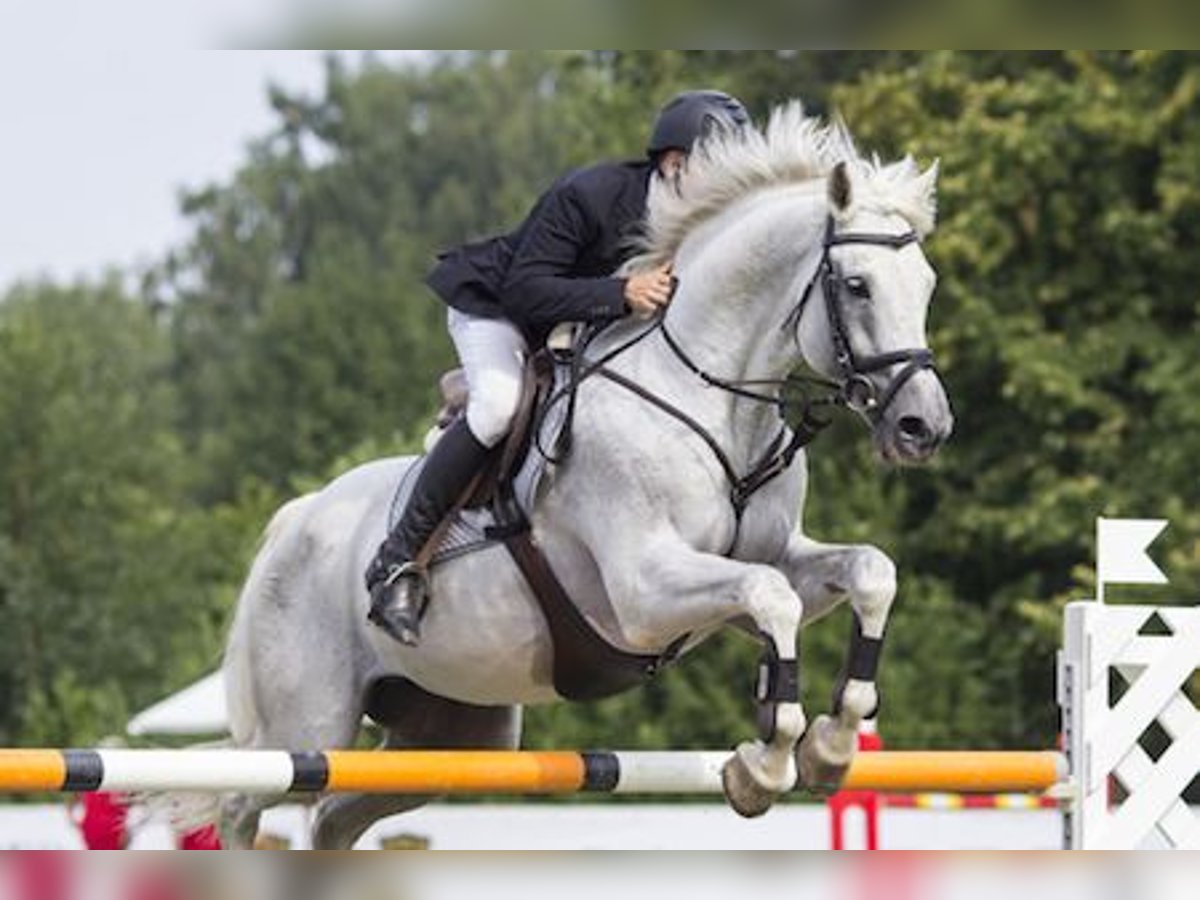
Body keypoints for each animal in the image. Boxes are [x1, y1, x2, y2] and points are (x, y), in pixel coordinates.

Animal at [213, 102, 945, 849]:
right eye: (856, 286)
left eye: (926, 287)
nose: (924, 425)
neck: (711, 396)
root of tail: (296, 519)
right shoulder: (644, 590)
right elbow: (771, 597)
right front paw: (764, 767)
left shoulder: (773, 560)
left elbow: (867, 573)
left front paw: (829, 747)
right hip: (306, 722)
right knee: (240, 805)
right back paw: (394, 590)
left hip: (453, 734)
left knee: (336, 817)